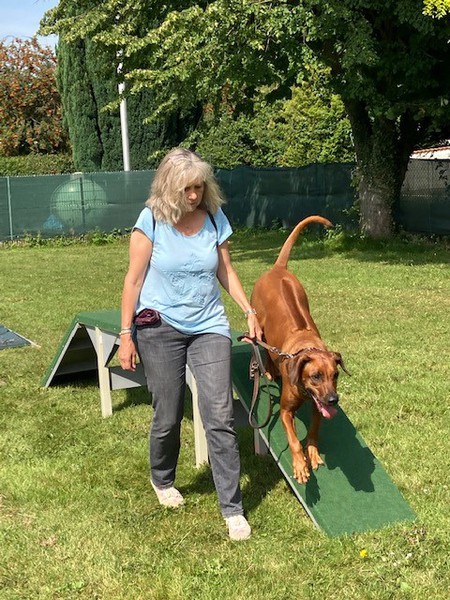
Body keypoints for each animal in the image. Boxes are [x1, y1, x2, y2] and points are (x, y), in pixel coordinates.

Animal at [250, 215, 349, 484]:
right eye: (315, 376)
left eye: (335, 375)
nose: (334, 400)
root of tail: (277, 268)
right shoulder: (285, 411)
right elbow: (294, 441)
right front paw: (299, 465)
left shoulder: (318, 407)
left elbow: (314, 430)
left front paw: (312, 454)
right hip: (259, 327)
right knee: (264, 350)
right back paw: (269, 369)